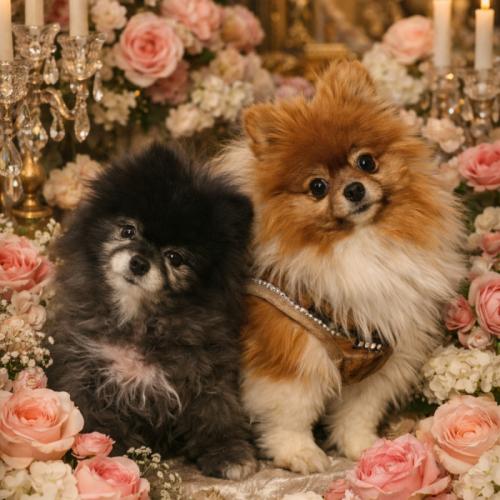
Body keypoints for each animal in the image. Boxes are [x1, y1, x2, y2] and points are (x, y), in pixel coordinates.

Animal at [47, 144, 257, 480]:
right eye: (127, 230)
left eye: (175, 258)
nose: (139, 262)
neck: (138, 321)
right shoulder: (85, 370)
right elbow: (99, 423)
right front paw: (112, 456)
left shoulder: (205, 370)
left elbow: (216, 412)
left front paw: (228, 453)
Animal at [214, 60, 466, 473]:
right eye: (317, 186)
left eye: (366, 162)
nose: (354, 189)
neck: (357, 245)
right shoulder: (290, 353)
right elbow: (290, 414)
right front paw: (299, 453)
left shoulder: (382, 358)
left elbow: (358, 411)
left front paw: (363, 447)